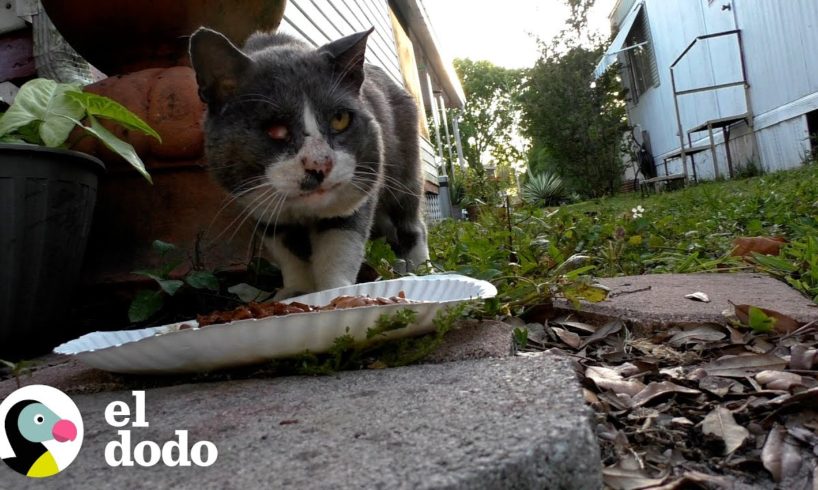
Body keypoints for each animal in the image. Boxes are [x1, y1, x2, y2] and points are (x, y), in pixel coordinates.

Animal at [189, 28, 430, 300]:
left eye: (340, 119)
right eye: (275, 129)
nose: (320, 164)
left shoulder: (358, 188)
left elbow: (339, 244)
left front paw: (336, 292)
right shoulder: (262, 208)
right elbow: (289, 253)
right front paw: (297, 292)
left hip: (404, 173)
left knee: (411, 223)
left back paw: (420, 270)